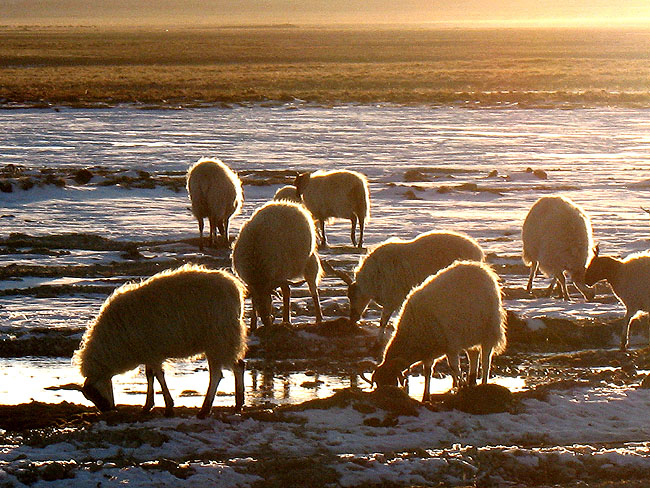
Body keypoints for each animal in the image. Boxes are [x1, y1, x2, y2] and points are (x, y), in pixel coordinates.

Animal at [74, 264, 247, 420]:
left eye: (93, 394)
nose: (108, 410)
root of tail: (234, 288)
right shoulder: (148, 352)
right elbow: (150, 376)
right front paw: (147, 406)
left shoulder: (153, 352)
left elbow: (159, 376)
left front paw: (168, 407)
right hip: (224, 340)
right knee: (239, 366)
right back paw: (238, 404)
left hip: (218, 339)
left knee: (217, 374)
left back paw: (204, 410)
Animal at [233, 200, 324, 330]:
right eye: (257, 304)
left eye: (269, 301)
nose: (267, 322)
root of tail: (285, 203)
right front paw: (253, 325)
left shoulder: (280, 274)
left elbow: (286, 291)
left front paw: (286, 320)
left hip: (309, 261)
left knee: (312, 290)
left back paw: (317, 318)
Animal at [322, 231, 480, 342]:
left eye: (352, 295)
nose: (353, 318)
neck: (372, 279)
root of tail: (477, 251)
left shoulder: (392, 299)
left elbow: (383, 321)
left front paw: (378, 341)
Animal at [368, 262, 504, 402]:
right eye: (378, 383)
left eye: (389, 379)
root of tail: (482, 268)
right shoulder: (429, 353)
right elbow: (428, 371)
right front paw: (426, 396)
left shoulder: (451, 345)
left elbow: (454, 367)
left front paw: (461, 385)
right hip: (470, 333)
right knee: (473, 355)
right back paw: (472, 381)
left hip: (489, 330)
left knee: (486, 360)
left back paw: (483, 382)